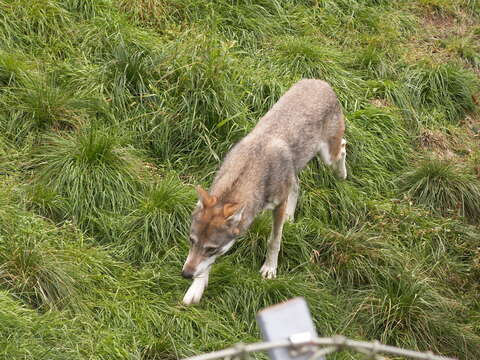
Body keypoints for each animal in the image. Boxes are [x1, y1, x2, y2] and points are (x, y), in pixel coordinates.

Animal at [180, 79, 344, 304]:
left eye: (211, 248)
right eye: (191, 240)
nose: (185, 274)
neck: (252, 167)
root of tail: (320, 82)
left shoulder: (278, 206)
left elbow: (274, 241)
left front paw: (269, 269)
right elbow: (206, 267)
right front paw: (195, 289)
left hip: (328, 156)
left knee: (343, 148)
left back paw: (342, 175)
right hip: (296, 171)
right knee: (297, 184)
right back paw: (291, 217)